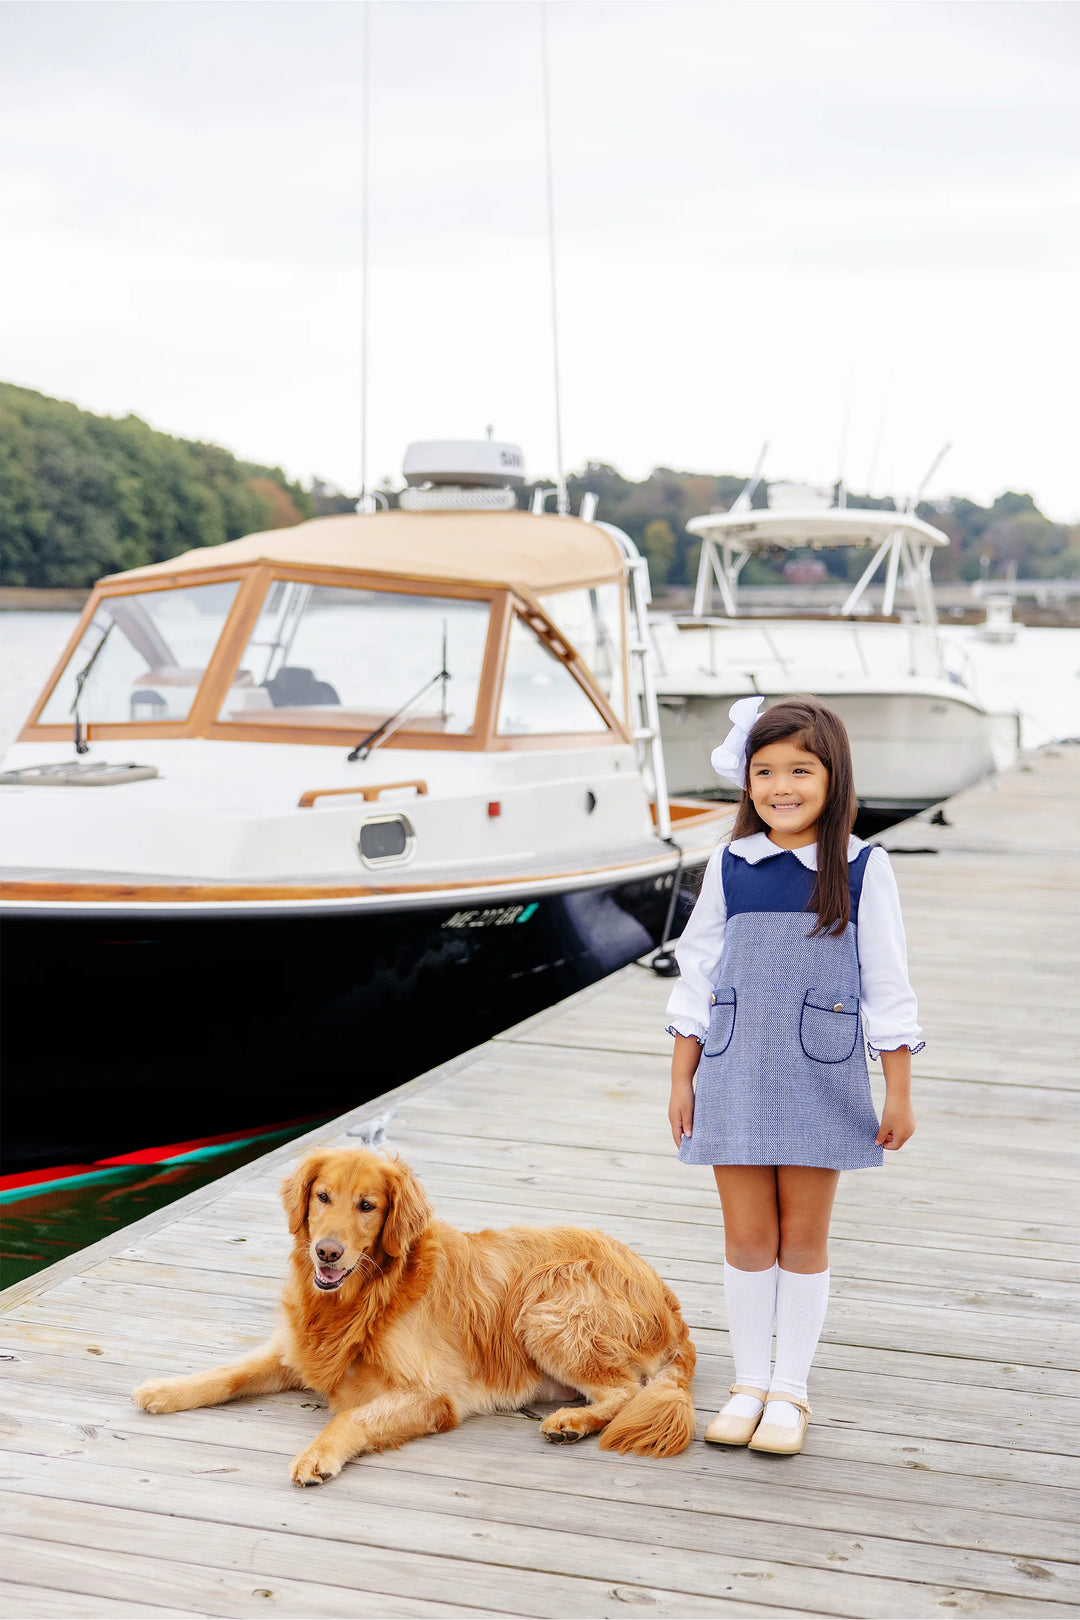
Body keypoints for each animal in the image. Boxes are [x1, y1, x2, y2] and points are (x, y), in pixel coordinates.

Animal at [131, 1140, 696, 1483]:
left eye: (368, 1205)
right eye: (322, 1196)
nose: (327, 1253)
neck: (365, 1298)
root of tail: (671, 1306)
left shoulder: (432, 1395)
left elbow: (351, 1416)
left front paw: (317, 1454)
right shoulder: (296, 1351)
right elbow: (229, 1373)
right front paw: (165, 1389)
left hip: (546, 1305)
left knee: (626, 1390)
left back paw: (571, 1422)